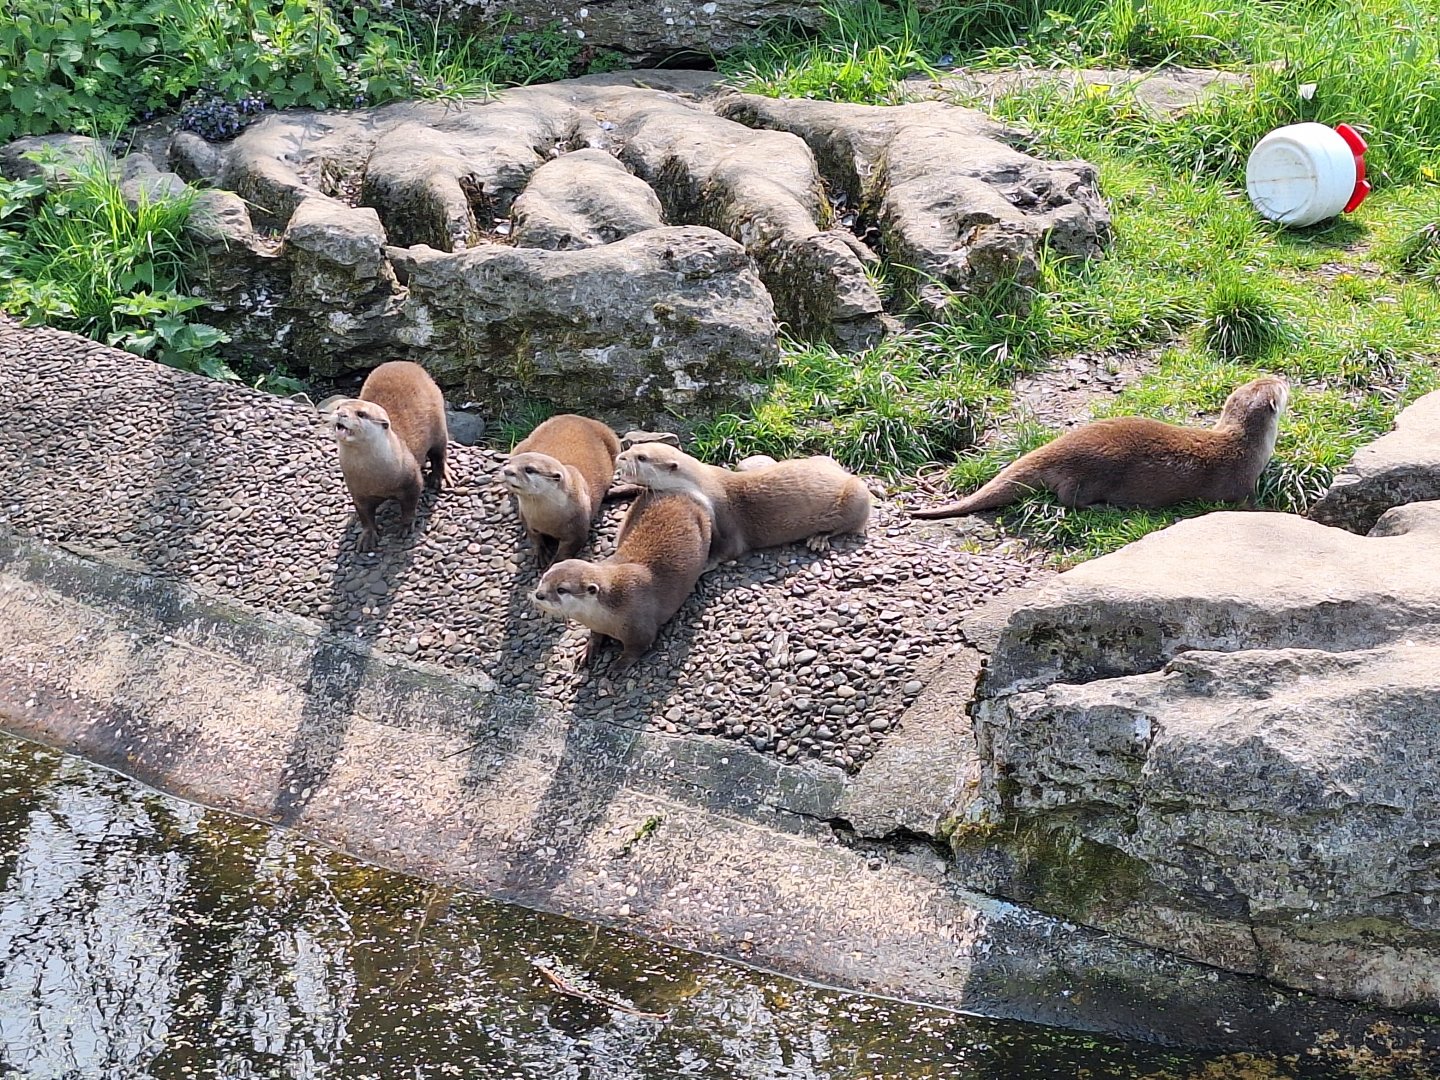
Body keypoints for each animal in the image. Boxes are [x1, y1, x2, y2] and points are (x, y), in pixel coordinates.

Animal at [329, 360, 449, 551]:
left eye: (361, 413)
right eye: (339, 407)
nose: (341, 414)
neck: (376, 478)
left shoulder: (412, 480)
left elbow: (410, 505)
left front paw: (405, 526)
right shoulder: (357, 491)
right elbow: (364, 515)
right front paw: (368, 536)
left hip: (439, 429)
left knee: (439, 456)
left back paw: (437, 479)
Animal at [498, 414, 622, 568]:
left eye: (529, 469)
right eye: (509, 464)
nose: (507, 471)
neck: (547, 520)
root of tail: (578, 417)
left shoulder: (578, 527)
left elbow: (569, 549)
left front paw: (554, 564)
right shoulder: (525, 516)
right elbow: (532, 535)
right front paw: (540, 552)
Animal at [532, 491, 711, 670]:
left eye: (561, 589)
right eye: (544, 578)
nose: (539, 595)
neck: (612, 610)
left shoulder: (640, 627)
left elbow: (638, 647)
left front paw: (619, 664)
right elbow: (595, 635)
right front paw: (588, 649)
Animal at [616, 445, 871, 565]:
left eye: (642, 457)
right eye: (629, 449)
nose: (620, 457)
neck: (704, 489)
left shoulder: (727, 519)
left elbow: (731, 549)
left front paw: (707, 563)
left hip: (857, 496)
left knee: (850, 525)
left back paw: (819, 538)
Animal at [911, 375, 1290, 520]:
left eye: (1263, 379)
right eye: (1279, 385)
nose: (1283, 377)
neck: (1245, 445)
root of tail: (1061, 445)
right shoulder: (1242, 484)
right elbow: (1249, 506)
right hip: (1095, 470)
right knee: (1068, 498)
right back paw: (1103, 507)